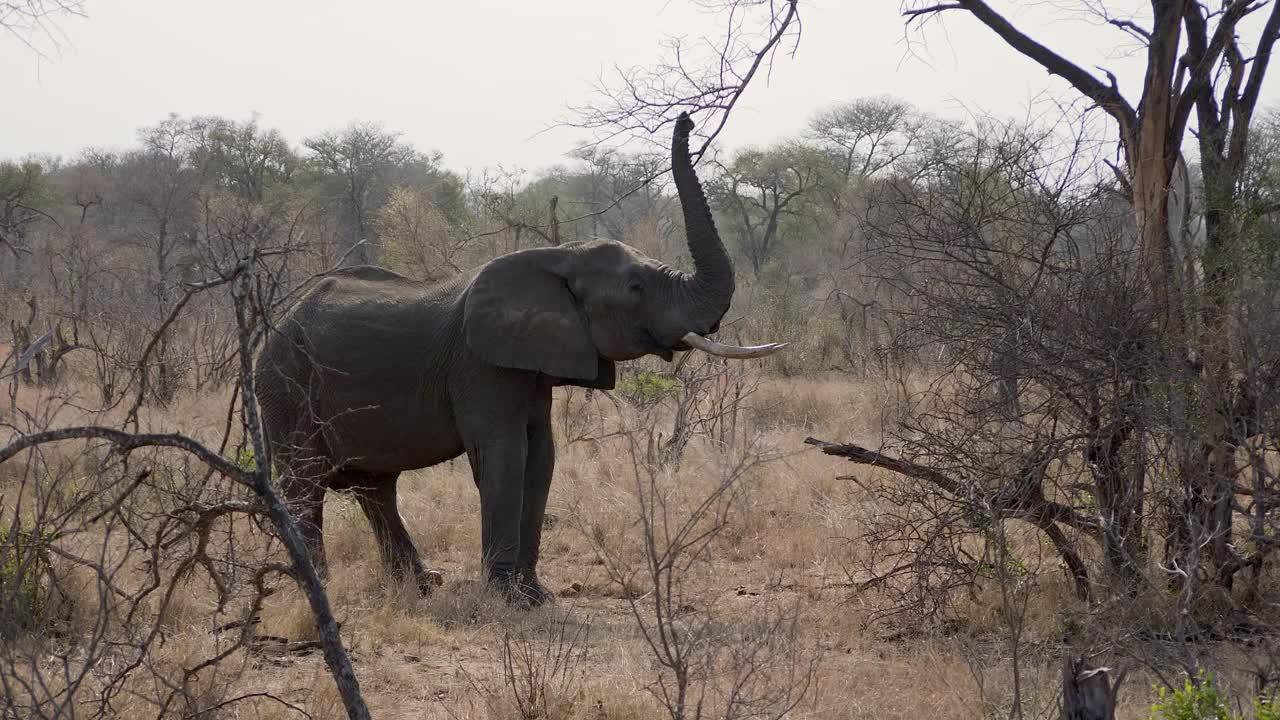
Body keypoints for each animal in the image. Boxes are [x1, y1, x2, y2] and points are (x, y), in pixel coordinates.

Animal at [254, 113, 783, 604]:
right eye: (635, 288)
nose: (687, 119)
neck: (555, 256)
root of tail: (277, 324)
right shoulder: (480, 365)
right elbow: (506, 455)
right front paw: (510, 599)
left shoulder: (533, 368)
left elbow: (542, 457)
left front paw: (535, 595)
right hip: (285, 387)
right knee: (306, 482)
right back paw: (315, 585)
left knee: (375, 487)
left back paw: (421, 584)